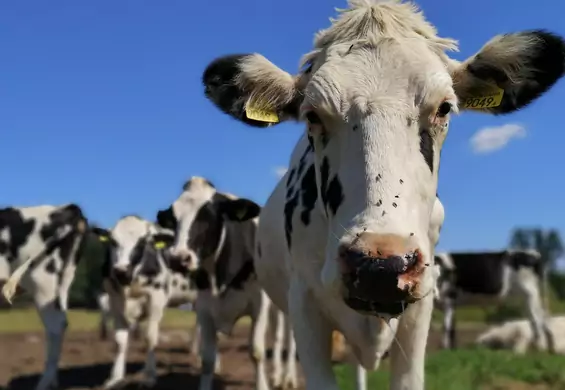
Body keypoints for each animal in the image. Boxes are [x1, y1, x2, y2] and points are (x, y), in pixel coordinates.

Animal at [0, 204, 88, 390]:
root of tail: (68, 208)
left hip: (43, 281)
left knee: (55, 326)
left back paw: (43, 384)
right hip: (64, 281)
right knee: (58, 326)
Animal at [91, 215, 198, 388]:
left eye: (142, 242)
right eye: (113, 241)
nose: (121, 270)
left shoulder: (156, 298)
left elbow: (150, 338)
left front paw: (149, 377)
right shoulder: (114, 299)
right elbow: (120, 340)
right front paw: (115, 378)